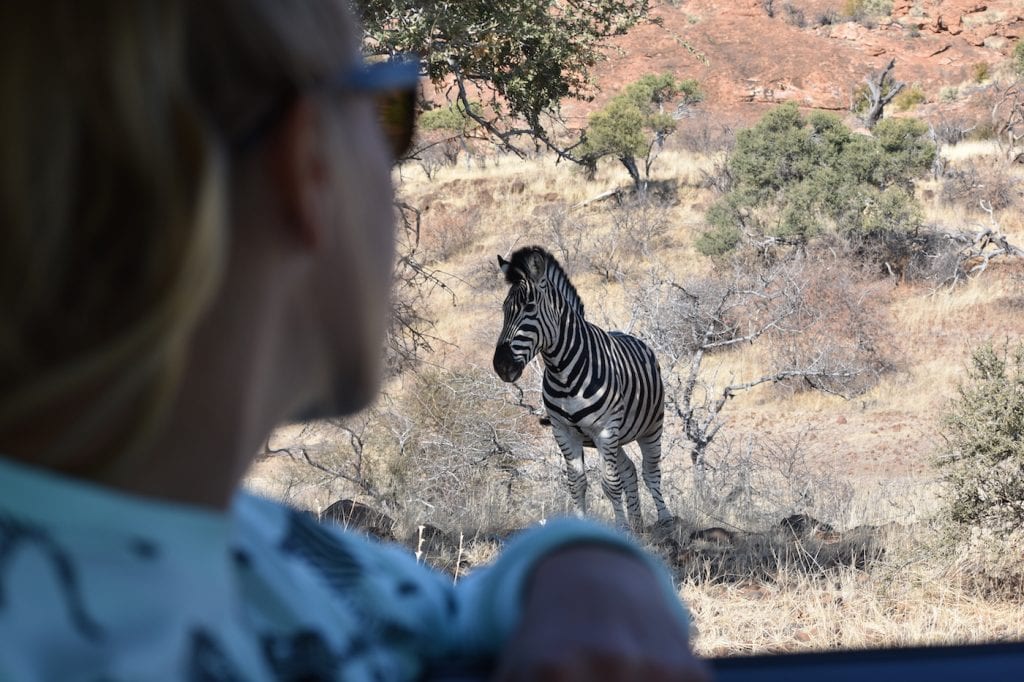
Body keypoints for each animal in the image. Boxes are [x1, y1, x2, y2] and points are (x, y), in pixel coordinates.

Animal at [489, 245, 667, 532]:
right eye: (505, 309)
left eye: (529, 308)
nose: (501, 365)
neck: (563, 373)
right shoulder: (564, 432)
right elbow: (577, 484)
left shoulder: (605, 429)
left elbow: (610, 485)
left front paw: (622, 529)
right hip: (614, 438)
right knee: (629, 470)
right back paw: (639, 526)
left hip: (651, 427)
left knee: (650, 471)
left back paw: (666, 521)